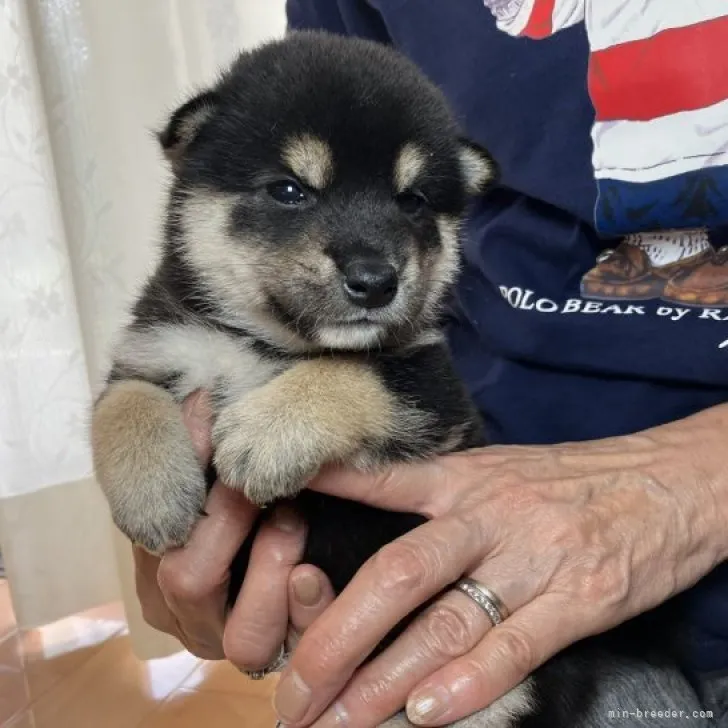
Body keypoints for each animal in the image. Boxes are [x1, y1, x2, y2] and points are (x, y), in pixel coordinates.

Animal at [91, 29, 688, 728]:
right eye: (289, 190)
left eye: (413, 201)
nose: (376, 280)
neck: (265, 344)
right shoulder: (156, 343)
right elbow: (122, 404)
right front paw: (152, 494)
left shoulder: (434, 391)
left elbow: (351, 374)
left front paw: (267, 434)